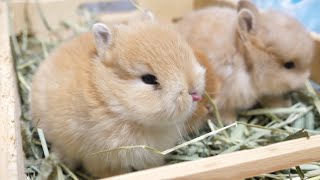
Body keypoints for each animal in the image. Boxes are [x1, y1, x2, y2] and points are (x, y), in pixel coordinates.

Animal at [178, 0, 316, 122]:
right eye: (289, 65)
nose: (304, 80)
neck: (244, 58)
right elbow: (225, 111)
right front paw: (230, 121)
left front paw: (283, 105)